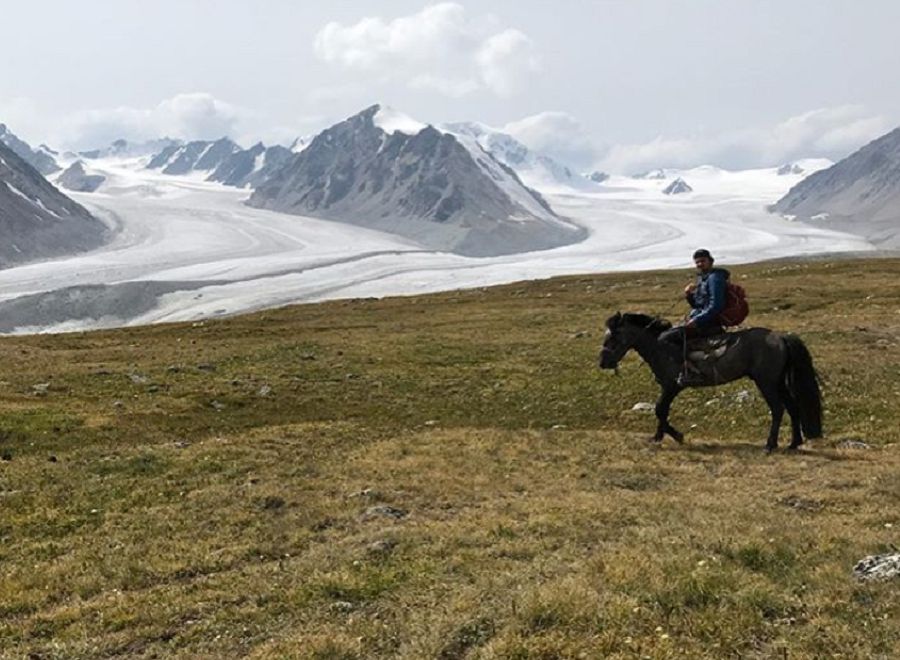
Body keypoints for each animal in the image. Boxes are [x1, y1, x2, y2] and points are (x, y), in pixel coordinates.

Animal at [596, 312, 824, 452]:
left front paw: (676, 436)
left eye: (613, 338)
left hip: (766, 382)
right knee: (792, 407)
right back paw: (794, 443)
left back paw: (770, 445)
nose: (603, 362)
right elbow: (662, 411)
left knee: (777, 409)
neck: (660, 347)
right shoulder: (667, 387)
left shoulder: (672, 386)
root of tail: (782, 337)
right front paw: (659, 436)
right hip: (778, 382)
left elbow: (660, 409)